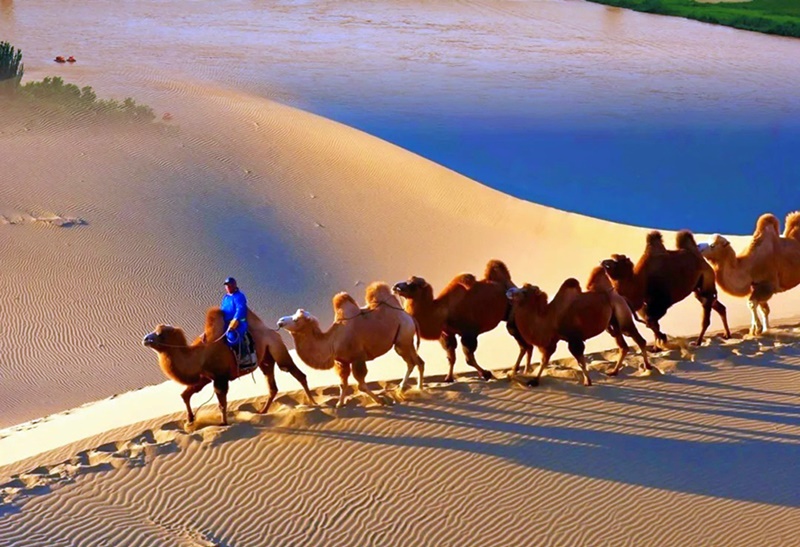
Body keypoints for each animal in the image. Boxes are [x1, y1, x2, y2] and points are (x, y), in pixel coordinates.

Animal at [142, 306, 318, 426]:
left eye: (160, 334)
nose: (145, 339)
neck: (199, 356)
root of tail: (272, 331)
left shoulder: (220, 378)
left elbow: (221, 403)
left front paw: (223, 423)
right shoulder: (205, 378)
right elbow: (185, 395)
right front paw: (190, 420)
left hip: (277, 348)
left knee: (295, 372)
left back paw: (313, 403)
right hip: (265, 360)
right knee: (272, 386)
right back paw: (263, 411)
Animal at [276, 282, 424, 406]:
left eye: (296, 319)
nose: (280, 321)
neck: (332, 341)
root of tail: (409, 316)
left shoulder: (357, 358)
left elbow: (361, 385)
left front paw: (381, 401)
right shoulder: (343, 362)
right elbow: (343, 384)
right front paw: (339, 404)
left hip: (404, 338)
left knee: (415, 362)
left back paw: (416, 389)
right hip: (401, 343)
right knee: (414, 362)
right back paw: (405, 389)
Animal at [392, 260, 536, 384]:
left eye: (412, 284)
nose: (396, 286)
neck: (442, 312)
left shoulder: (469, 333)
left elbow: (469, 359)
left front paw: (486, 374)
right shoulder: (447, 334)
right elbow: (451, 357)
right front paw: (448, 378)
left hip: (512, 316)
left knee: (522, 343)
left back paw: (518, 370)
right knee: (527, 345)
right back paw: (523, 370)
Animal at [510, 268, 652, 388]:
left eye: (524, 291)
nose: (509, 291)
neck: (549, 317)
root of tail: (621, 297)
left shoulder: (574, 339)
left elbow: (579, 361)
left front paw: (587, 381)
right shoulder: (553, 341)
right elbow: (544, 360)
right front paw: (534, 381)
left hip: (623, 319)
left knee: (639, 339)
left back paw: (648, 367)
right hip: (612, 325)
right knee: (623, 346)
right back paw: (613, 371)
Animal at [600, 231, 732, 346]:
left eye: (618, 261)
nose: (604, 262)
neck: (640, 282)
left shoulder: (661, 302)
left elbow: (651, 322)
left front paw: (662, 340)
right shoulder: (645, 304)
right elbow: (652, 323)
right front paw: (657, 345)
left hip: (706, 283)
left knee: (706, 316)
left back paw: (698, 342)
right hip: (697, 289)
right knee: (719, 307)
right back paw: (727, 335)